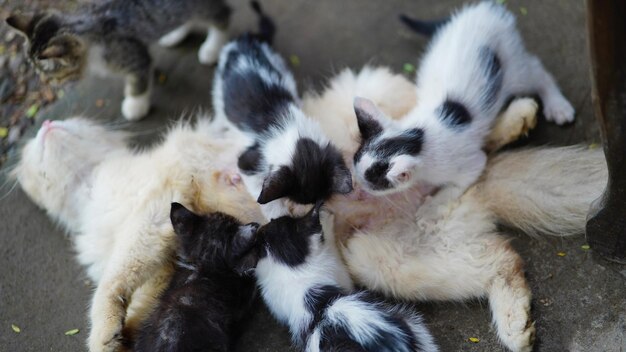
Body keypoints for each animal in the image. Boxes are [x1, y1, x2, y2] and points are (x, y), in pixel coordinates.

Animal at [6, 0, 232, 120]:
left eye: (49, 74)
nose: (45, 82)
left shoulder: (133, 55)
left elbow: (138, 81)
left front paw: (135, 105)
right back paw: (175, 34)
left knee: (221, 14)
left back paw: (213, 46)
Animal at [348, 2, 572, 220]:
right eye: (354, 168)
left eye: (371, 185)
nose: (355, 189)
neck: (418, 136)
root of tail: (484, 9)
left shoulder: (470, 163)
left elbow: (456, 185)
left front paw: (429, 210)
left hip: (514, 67)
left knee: (538, 71)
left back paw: (558, 106)